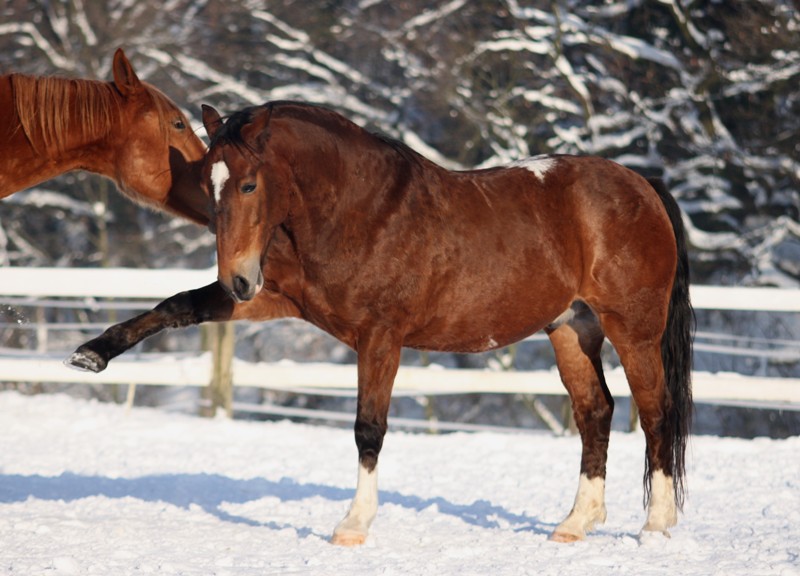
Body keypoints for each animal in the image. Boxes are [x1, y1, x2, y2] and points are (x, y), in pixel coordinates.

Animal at [69, 101, 692, 548]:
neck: (364, 210)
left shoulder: (380, 337)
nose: (238, 279)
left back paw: (657, 526)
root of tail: (638, 183)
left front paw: (353, 525)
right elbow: (177, 305)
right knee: (595, 413)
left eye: (249, 184)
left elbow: (368, 428)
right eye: (208, 187)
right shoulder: (280, 299)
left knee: (655, 413)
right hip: (570, 329)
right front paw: (92, 353)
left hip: (632, 328)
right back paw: (575, 523)